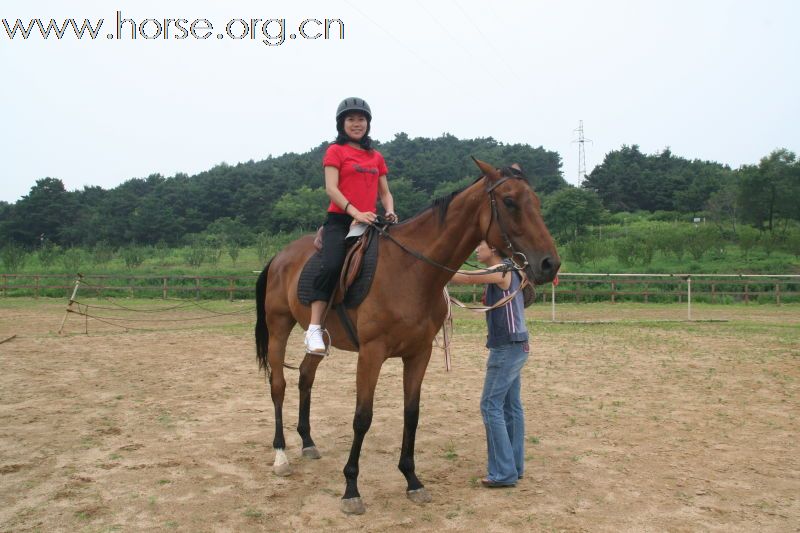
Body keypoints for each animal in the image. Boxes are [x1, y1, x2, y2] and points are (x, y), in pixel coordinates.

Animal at [253, 157, 560, 512]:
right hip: (279, 327)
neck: (410, 271)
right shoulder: (371, 354)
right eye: (510, 202)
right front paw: (351, 488)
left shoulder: (419, 353)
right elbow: (362, 417)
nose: (550, 264)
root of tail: (279, 257)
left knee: (305, 376)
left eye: (536, 202)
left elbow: (412, 413)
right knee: (278, 386)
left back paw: (307, 442)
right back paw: (280, 455)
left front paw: (412, 480)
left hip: (319, 341)